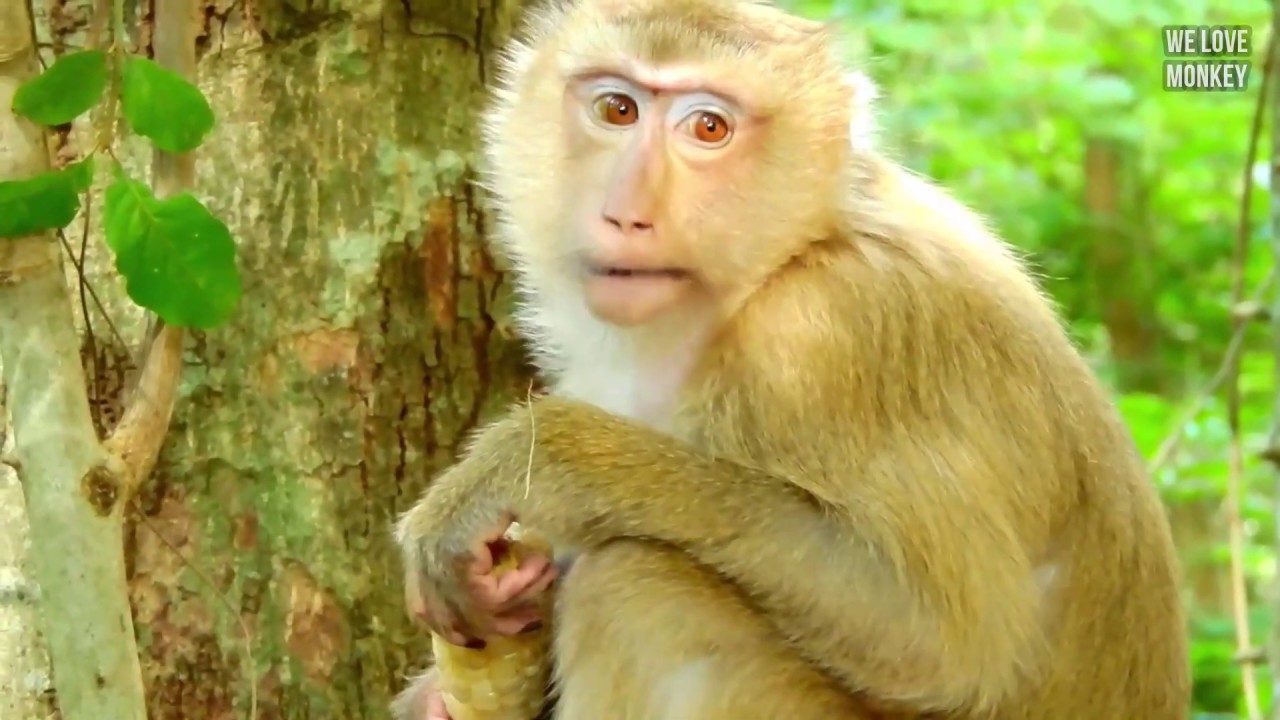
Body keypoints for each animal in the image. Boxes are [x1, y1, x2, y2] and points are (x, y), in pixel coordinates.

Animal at [391, 0, 1191, 717]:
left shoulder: (824, 335)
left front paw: (548, 460)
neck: (783, 260)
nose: (627, 213)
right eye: (617, 109)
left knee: (639, 590)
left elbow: (951, 646)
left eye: (709, 127)